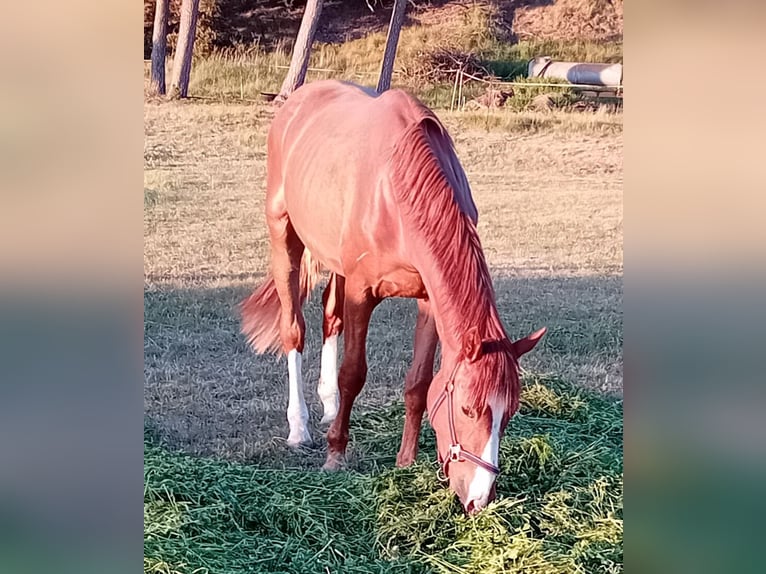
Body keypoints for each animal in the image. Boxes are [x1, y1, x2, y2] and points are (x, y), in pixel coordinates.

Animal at [240, 80, 546, 514]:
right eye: (468, 408)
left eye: (510, 413)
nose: (479, 499)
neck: (397, 190)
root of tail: (297, 99)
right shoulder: (361, 292)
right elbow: (353, 374)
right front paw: (335, 456)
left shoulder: (428, 300)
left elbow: (418, 382)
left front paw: (405, 462)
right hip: (284, 237)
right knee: (294, 330)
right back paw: (299, 428)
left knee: (329, 318)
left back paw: (329, 406)